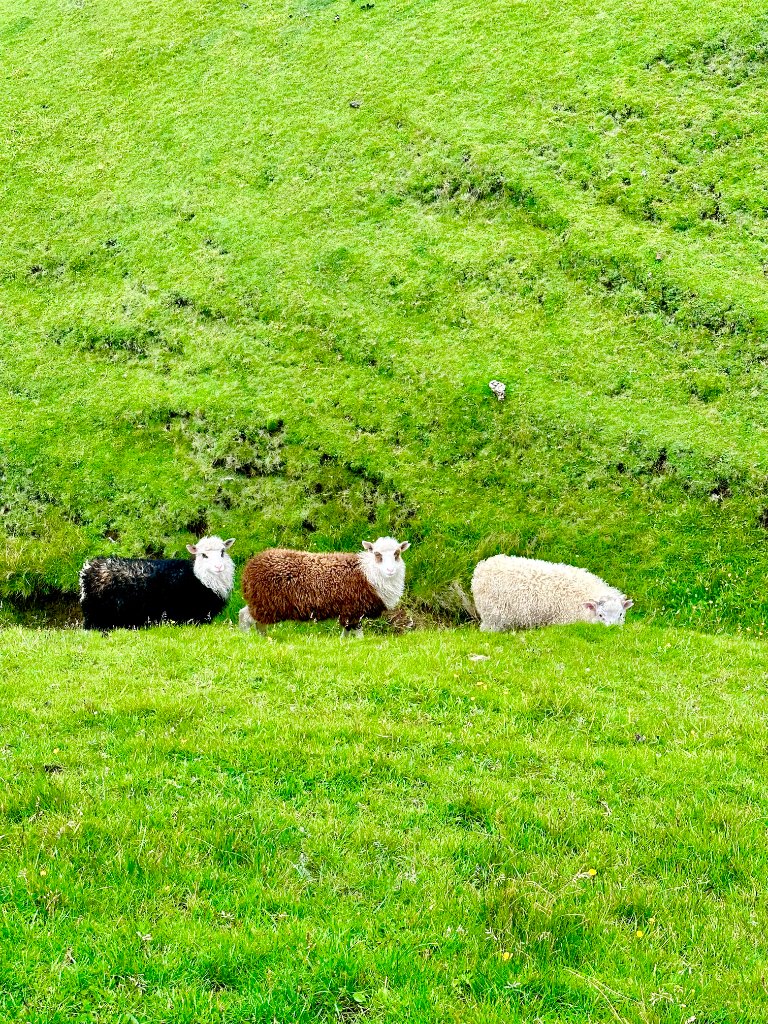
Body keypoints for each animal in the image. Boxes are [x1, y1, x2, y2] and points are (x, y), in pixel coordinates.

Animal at [239, 536, 410, 637]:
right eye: (377, 554)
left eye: (397, 554)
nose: (390, 570)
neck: (369, 572)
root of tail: (250, 566)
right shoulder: (354, 609)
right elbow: (357, 632)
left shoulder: (349, 610)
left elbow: (347, 631)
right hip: (265, 603)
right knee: (245, 617)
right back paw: (247, 638)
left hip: (262, 602)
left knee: (255, 621)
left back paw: (263, 639)